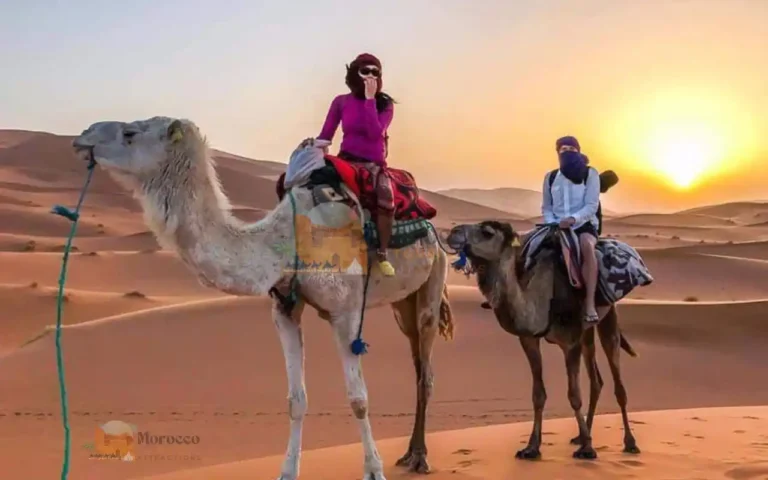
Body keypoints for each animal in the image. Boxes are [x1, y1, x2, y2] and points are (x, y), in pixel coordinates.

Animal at [71, 116, 455, 480]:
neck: (284, 241)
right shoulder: (284, 310)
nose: (84, 135)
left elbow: (358, 398)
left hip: (434, 278)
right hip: (402, 304)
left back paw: (421, 458)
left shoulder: (345, 312)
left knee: (426, 370)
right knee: (417, 362)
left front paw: (373, 470)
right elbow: (296, 400)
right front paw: (286, 471)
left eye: (131, 133)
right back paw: (409, 453)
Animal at [446, 220, 640, 460]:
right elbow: (538, 394)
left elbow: (574, 395)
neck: (541, 299)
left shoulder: (570, 343)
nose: (453, 233)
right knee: (596, 380)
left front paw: (588, 449)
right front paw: (531, 447)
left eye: (487, 232)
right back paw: (581, 436)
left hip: (608, 317)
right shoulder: (529, 339)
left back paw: (629, 442)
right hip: (587, 333)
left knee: (617, 383)